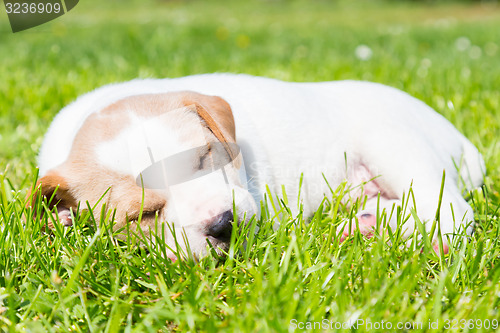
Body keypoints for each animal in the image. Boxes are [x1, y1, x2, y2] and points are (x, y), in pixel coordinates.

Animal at [32, 74, 484, 258]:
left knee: (451, 210)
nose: (221, 225)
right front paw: (62, 220)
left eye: (204, 157)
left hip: (394, 143)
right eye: (143, 214)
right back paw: (366, 226)